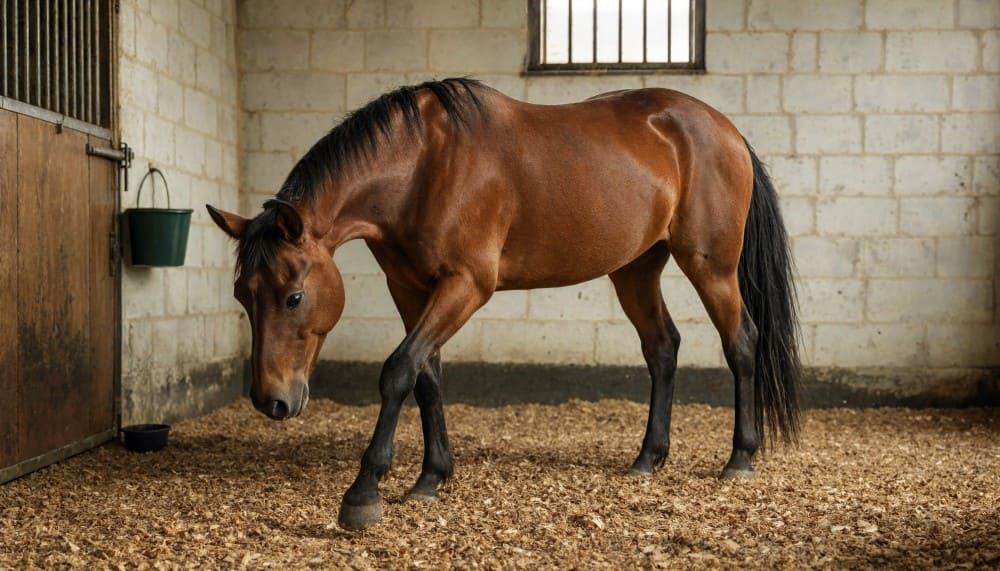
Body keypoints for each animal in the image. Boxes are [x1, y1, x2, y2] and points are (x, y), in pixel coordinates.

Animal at [206, 78, 800, 531]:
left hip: (710, 266)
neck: (423, 165)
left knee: (741, 343)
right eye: (242, 295)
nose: (271, 400)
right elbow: (426, 377)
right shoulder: (410, 289)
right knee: (662, 348)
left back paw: (740, 458)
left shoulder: (466, 285)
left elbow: (398, 370)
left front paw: (364, 491)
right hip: (635, 268)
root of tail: (726, 130)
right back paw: (648, 458)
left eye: (294, 297)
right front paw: (430, 478)